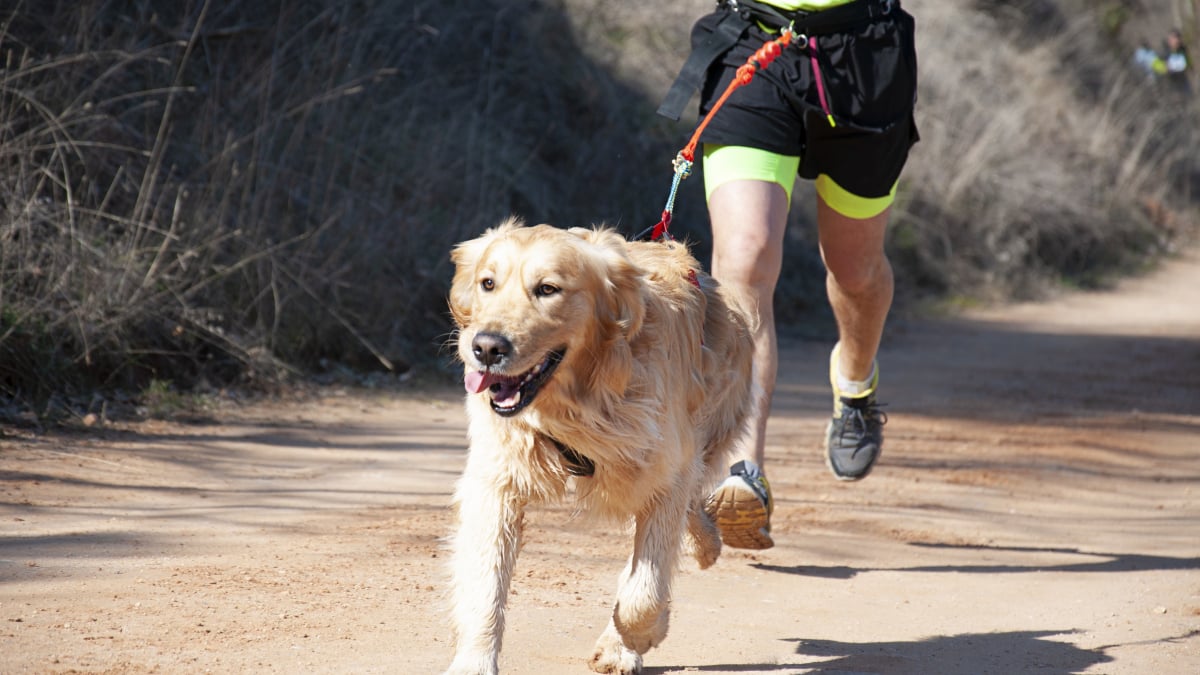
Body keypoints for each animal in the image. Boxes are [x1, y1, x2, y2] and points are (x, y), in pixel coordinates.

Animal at [446, 218, 753, 667]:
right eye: (488, 283)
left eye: (548, 289)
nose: (485, 347)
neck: (579, 399)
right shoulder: (497, 481)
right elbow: (485, 585)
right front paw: (475, 661)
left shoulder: (665, 475)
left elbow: (644, 591)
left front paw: (629, 642)